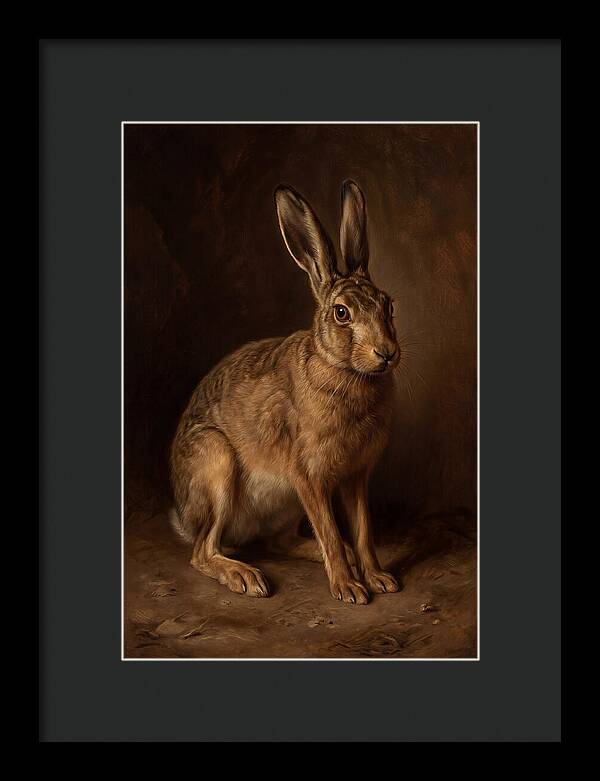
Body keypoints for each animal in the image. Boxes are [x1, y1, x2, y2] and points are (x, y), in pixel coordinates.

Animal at [169, 180, 401, 604]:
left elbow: (362, 531)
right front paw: (349, 589)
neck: (344, 370)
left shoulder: (356, 476)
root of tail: (183, 515)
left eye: (388, 305)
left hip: (285, 505)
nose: (387, 353)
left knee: (279, 542)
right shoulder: (307, 475)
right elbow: (330, 530)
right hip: (216, 463)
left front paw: (378, 578)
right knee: (202, 551)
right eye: (341, 313)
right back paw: (245, 577)